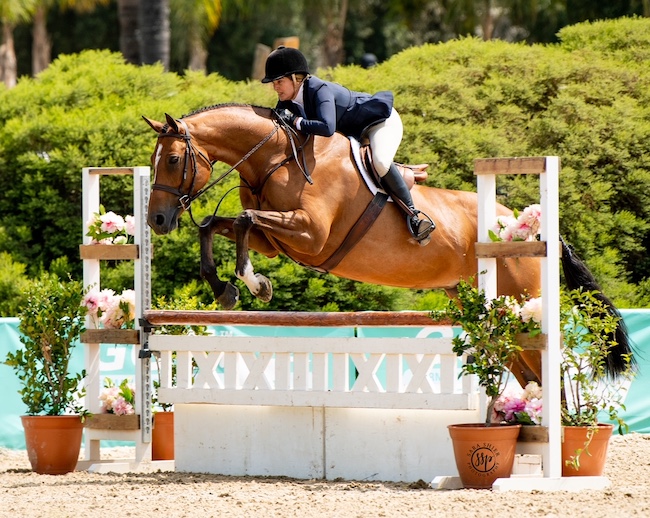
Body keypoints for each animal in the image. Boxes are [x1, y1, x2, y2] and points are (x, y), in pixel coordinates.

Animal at [144, 104, 632, 390]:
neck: (277, 156)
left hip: (520, 305)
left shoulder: (310, 235)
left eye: (174, 159)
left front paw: (252, 283)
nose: (157, 221)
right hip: (487, 310)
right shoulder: (277, 242)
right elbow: (216, 224)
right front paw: (224, 288)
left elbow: (243, 220)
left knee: (548, 374)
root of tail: (527, 224)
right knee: (530, 376)